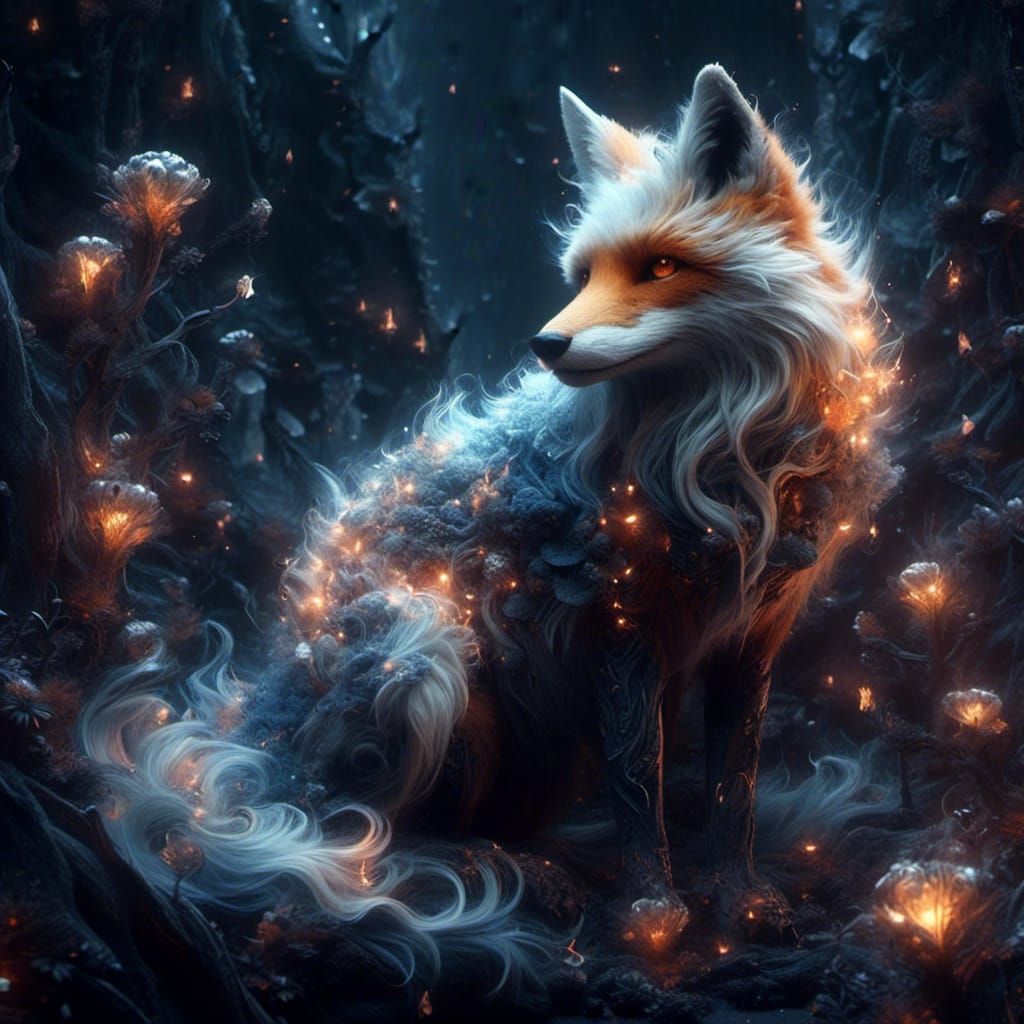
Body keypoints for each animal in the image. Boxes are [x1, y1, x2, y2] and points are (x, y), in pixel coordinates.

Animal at [82, 64, 894, 982]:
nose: (546, 344)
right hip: (424, 646)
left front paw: (740, 900)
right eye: (582, 274)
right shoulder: (620, 622)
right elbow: (639, 786)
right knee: (351, 838)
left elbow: (734, 792)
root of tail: (253, 740)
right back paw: (492, 875)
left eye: (660, 266)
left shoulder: (752, 639)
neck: (714, 458)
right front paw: (653, 914)